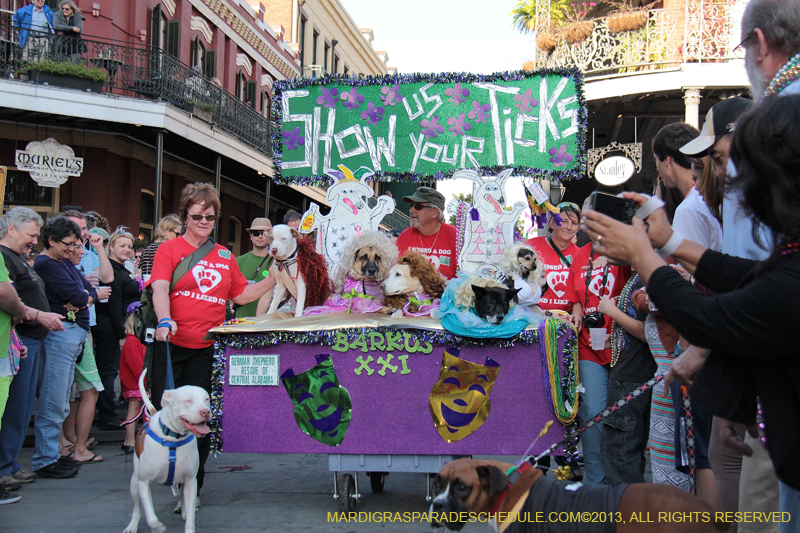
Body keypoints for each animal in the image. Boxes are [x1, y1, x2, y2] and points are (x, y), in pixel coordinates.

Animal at [122, 370, 212, 532]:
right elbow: (151, 517)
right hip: (134, 483)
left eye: (206, 399)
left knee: (182, 497)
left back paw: (183, 511)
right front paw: (159, 528)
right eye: (188, 400)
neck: (174, 438)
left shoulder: (190, 481)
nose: (205, 411)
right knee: (137, 507)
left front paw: (188, 517)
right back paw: (132, 526)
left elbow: (191, 518)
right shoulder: (144, 482)